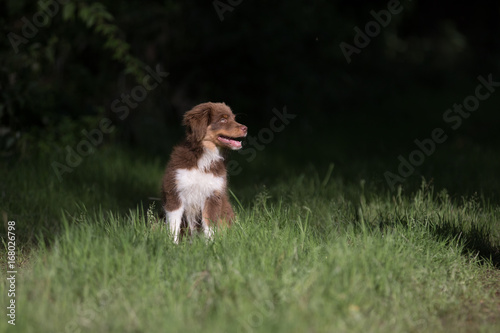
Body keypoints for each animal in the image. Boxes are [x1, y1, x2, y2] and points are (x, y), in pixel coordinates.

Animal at [162, 101, 248, 241]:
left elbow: (209, 224)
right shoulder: (174, 191)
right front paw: (171, 243)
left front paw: (210, 244)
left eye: (234, 118)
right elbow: (173, 225)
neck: (204, 156)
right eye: (223, 119)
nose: (246, 128)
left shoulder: (212, 195)